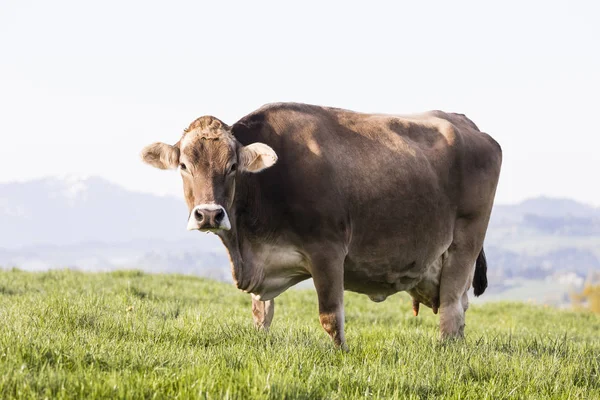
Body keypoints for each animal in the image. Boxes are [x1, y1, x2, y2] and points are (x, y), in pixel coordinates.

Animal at [141, 103, 502, 350]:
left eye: (232, 166)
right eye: (184, 165)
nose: (209, 215)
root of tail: (462, 121)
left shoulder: (327, 249)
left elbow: (330, 316)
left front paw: (342, 355)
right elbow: (262, 314)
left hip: (464, 245)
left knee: (451, 312)